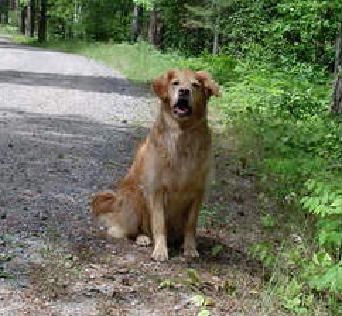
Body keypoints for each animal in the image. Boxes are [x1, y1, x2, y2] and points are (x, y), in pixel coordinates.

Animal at [91, 69, 219, 262]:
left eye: (195, 85)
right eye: (175, 83)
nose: (184, 91)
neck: (182, 137)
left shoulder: (198, 191)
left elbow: (191, 225)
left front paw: (190, 248)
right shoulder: (157, 189)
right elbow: (159, 224)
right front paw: (160, 250)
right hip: (134, 200)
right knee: (126, 230)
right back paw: (143, 238)